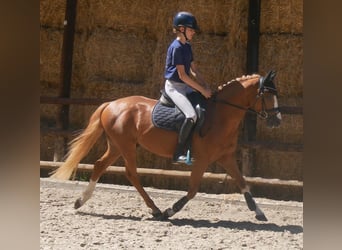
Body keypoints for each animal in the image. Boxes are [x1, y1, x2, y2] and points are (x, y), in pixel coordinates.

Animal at [51, 70, 280, 221]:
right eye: (268, 94)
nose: (277, 121)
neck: (221, 115)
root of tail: (112, 104)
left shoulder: (227, 157)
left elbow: (243, 183)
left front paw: (259, 212)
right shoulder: (202, 159)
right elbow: (193, 190)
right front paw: (171, 210)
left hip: (117, 145)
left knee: (100, 165)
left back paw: (81, 201)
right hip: (125, 146)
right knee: (131, 173)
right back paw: (156, 209)